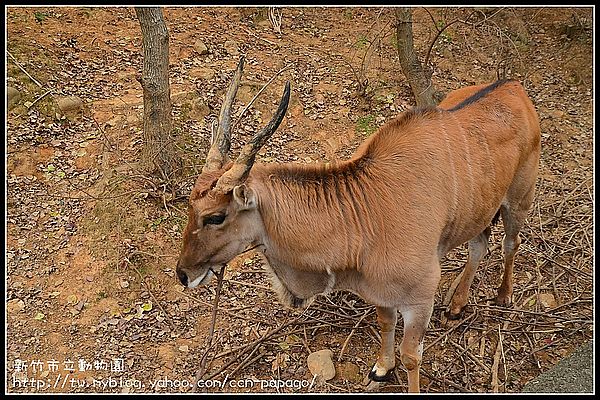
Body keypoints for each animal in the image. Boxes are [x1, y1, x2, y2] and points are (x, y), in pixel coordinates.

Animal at [175, 57, 544, 392]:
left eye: (215, 216)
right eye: (190, 205)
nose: (183, 274)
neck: (364, 212)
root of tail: (514, 87)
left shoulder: (420, 298)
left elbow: (412, 356)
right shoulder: (381, 291)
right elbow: (385, 322)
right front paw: (382, 368)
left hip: (518, 200)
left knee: (510, 243)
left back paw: (503, 295)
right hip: (481, 210)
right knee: (479, 244)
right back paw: (457, 303)